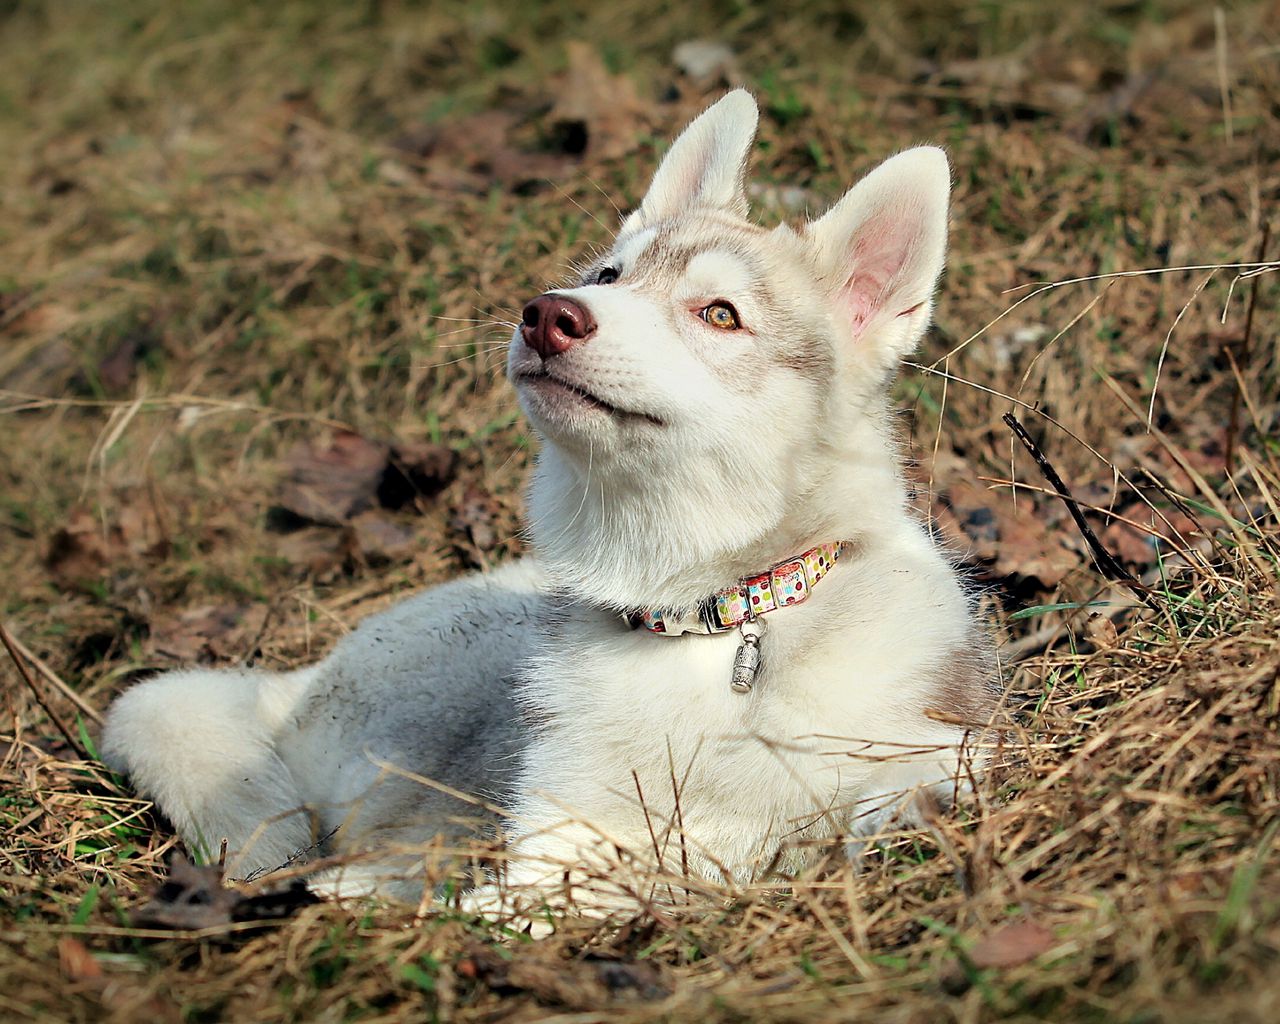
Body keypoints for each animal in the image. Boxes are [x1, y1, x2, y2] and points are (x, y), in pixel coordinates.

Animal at [102, 88, 998, 906]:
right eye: (608, 276)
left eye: (720, 315)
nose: (547, 315)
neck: (721, 617)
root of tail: (299, 676)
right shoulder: (556, 836)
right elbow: (538, 899)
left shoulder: (937, 752)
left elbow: (885, 801)